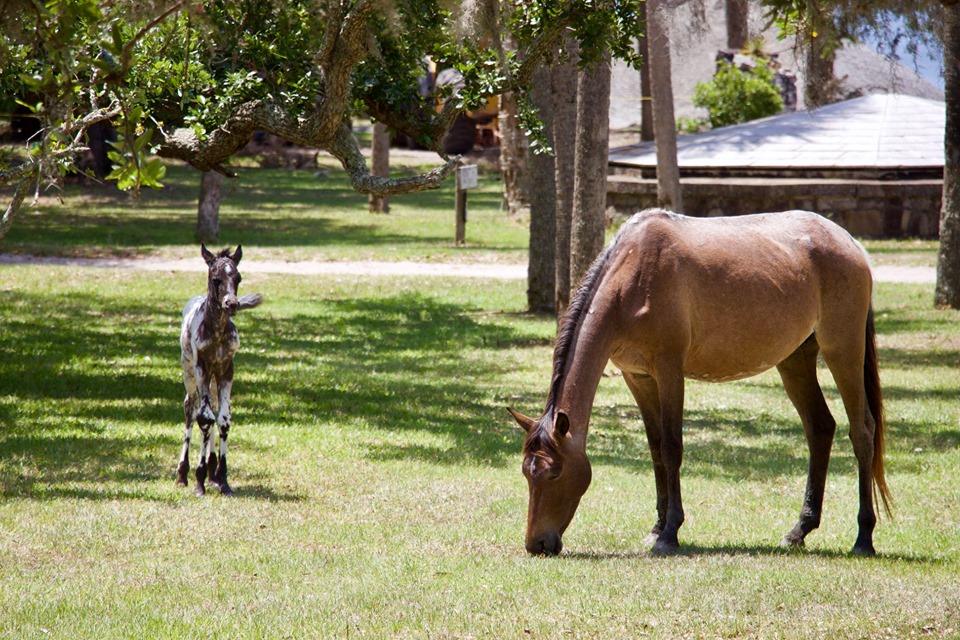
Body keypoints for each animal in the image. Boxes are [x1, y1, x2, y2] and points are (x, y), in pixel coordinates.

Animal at [177, 244, 262, 496]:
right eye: (216, 279)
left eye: (238, 277)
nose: (232, 304)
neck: (216, 332)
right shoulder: (202, 367)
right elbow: (204, 418)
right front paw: (199, 481)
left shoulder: (226, 368)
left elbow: (223, 418)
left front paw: (222, 479)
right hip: (189, 371)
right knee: (190, 407)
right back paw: (182, 474)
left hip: (214, 378)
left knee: (213, 408)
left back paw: (212, 473)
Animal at [508, 209, 891, 556]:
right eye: (527, 473)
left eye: (555, 474)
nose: (537, 544)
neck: (633, 277)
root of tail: (849, 243)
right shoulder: (638, 377)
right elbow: (655, 449)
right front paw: (657, 527)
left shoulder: (669, 371)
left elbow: (671, 448)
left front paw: (669, 533)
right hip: (795, 359)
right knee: (819, 428)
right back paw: (799, 531)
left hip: (843, 350)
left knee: (862, 431)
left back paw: (864, 538)